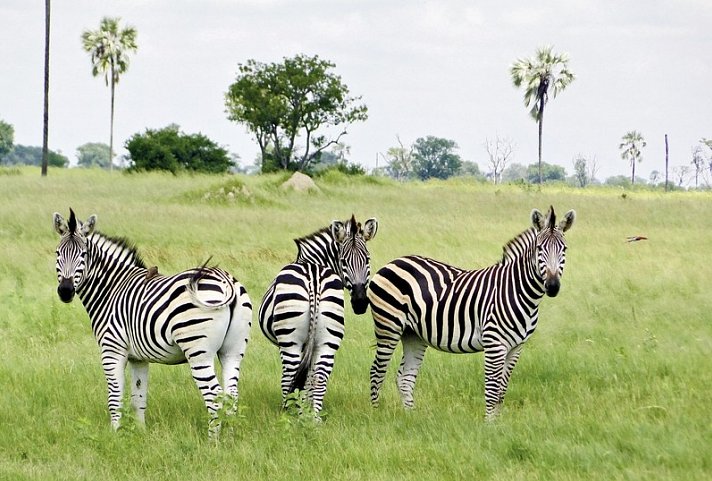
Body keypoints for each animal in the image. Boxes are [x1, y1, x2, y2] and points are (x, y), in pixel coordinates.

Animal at [50, 208, 250, 434]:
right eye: (57, 253)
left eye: (83, 255)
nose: (65, 291)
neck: (111, 288)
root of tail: (226, 280)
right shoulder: (139, 358)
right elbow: (138, 398)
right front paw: (141, 434)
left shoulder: (112, 350)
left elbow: (114, 398)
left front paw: (115, 435)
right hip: (232, 351)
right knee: (231, 396)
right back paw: (231, 436)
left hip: (198, 351)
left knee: (215, 397)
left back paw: (213, 440)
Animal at [258, 215, 378, 416]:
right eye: (343, 261)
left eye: (367, 259)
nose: (360, 301)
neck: (314, 262)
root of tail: (314, 278)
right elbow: (310, 378)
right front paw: (307, 406)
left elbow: (300, 379)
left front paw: (298, 406)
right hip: (329, 338)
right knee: (320, 376)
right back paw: (313, 417)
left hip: (290, 339)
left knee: (290, 375)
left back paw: (291, 412)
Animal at [368, 204, 572, 418]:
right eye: (539, 248)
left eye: (564, 249)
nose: (553, 286)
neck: (517, 290)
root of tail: (393, 262)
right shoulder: (494, 343)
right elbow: (492, 389)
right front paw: (489, 424)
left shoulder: (517, 347)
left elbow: (501, 391)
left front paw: (498, 422)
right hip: (388, 327)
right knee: (376, 372)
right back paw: (377, 414)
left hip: (413, 334)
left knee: (405, 377)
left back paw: (412, 417)